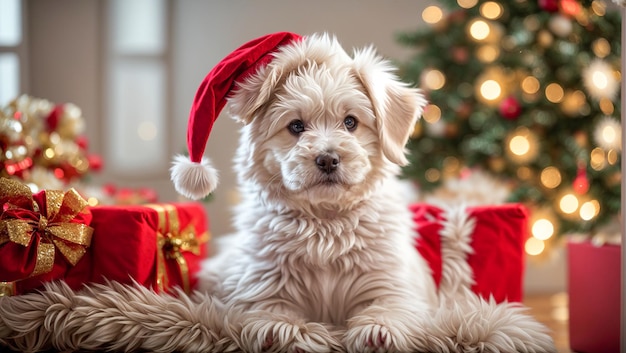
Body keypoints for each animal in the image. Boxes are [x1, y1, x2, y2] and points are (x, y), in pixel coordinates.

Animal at [197, 33, 436, 352]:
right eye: (296, 126)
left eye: (350, 122)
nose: (328, 159)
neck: (325, 223)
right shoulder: (260, 281)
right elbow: (269, 311)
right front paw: (285, 331)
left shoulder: (391, 280)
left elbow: (390, 306)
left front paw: (377, 331)